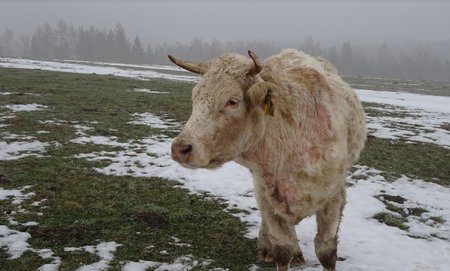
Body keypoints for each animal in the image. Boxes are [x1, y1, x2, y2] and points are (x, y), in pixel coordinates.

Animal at [168, 49, 366, 271]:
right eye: (195, 97)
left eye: (232, 101)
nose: (180, 148)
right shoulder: (267, 193)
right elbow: (282, 248)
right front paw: (279, 249)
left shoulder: (334, 195)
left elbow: (326, 252)